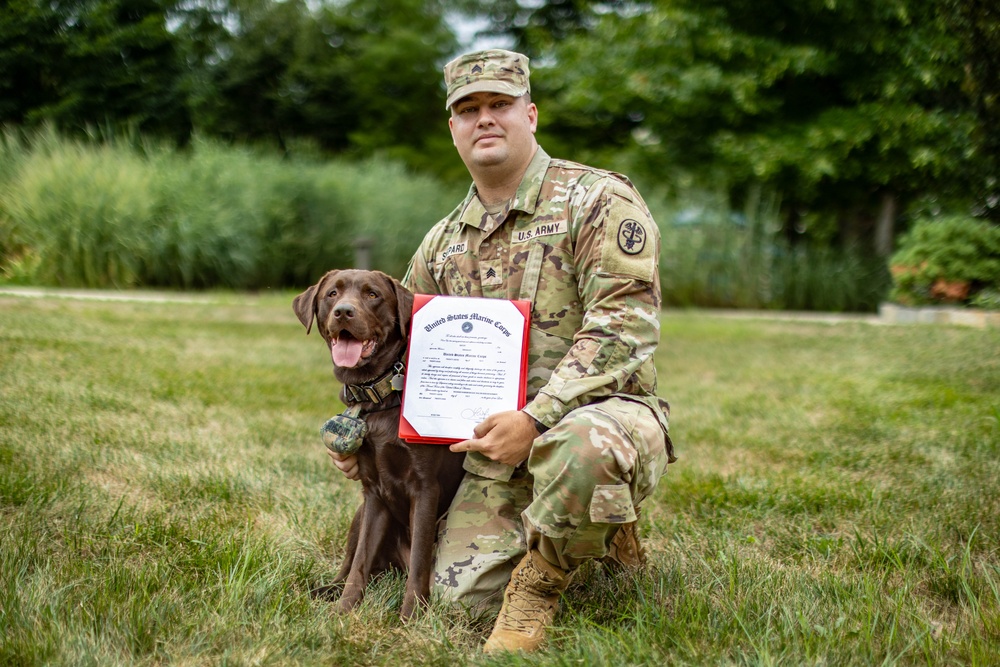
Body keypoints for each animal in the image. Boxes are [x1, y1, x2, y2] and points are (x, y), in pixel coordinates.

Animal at [292, 270, 466, 620]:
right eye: (332, 294)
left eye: (373, 295)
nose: (343, 312)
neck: (376, 394)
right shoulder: (372, 491)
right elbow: (360, 561)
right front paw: (345, 609)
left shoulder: (425, 487)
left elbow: (419, 563)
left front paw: (410, 616)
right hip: (359, 514)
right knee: (350, 565)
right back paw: (322, 592)